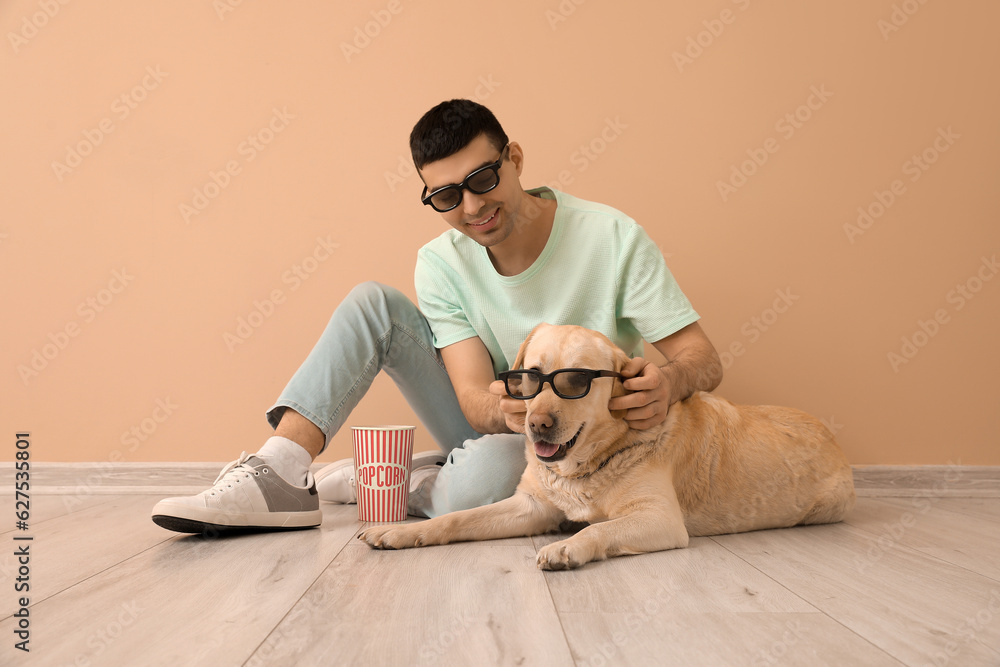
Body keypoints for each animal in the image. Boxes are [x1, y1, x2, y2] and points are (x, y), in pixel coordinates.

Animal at [356, 326, 856, 572]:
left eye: (576, 381)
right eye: (530, 378)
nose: (537, 424)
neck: (588, 464)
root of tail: (833, 434)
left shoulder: (660, 519)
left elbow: (600, 529)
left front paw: (568, 547)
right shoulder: (530, 506)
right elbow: (457, 519)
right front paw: (399, 532)